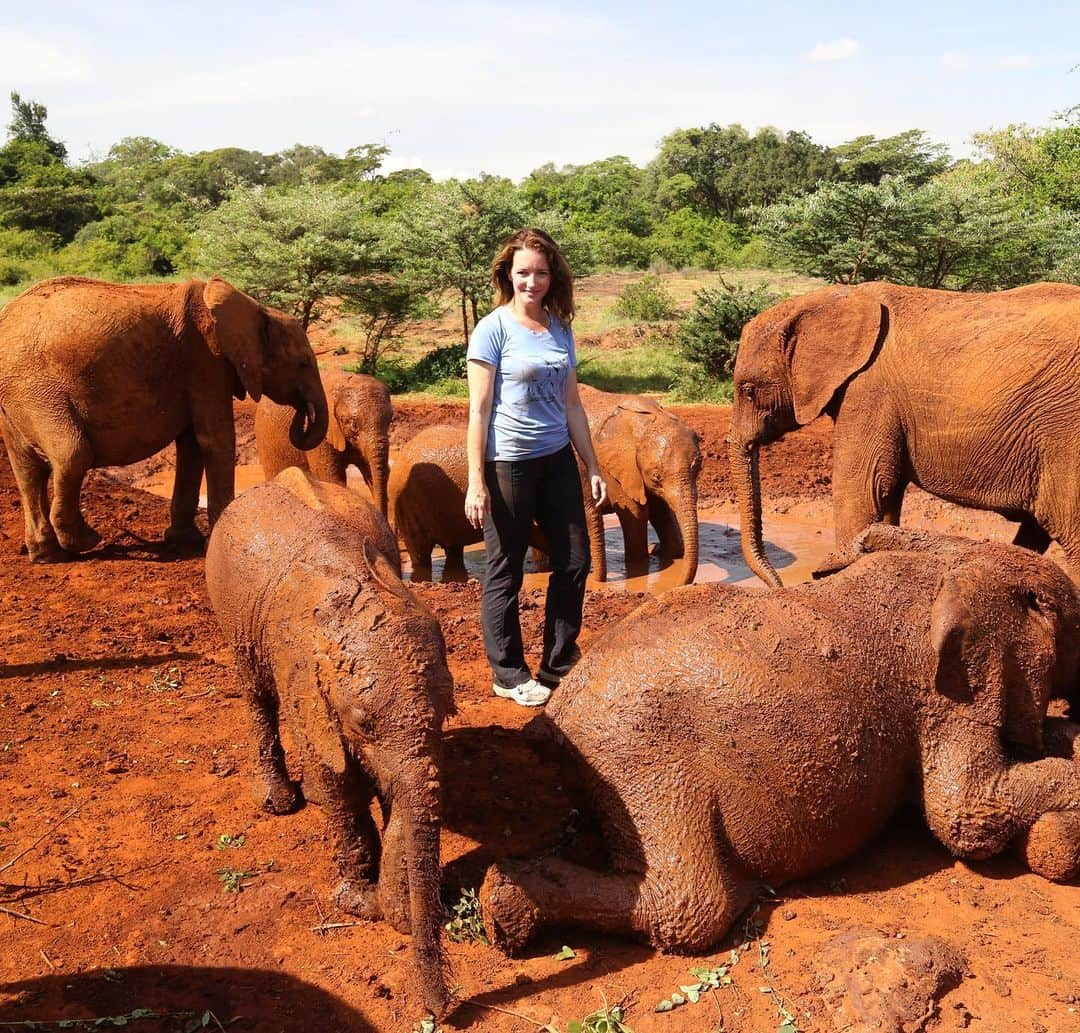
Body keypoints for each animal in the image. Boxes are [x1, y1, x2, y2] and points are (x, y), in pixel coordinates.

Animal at [0, 274, 326, 561]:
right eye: (303, 363)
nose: (302, 413)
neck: (255, 308)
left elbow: (192, 444)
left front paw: (184, 540)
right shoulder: (205, 361)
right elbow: (215, 439)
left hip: (14, 401)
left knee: (28, 470)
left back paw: (47, 556)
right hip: (35, 391)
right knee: (72, 454)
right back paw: (85, 541)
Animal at [205, 468, 451, 1015]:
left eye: (446, 714)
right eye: (362, 723)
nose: (441, 1013)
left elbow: (398, 792)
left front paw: (386, 900)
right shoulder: (298, 667)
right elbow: (339, 778)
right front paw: (354, 898)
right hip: (235, 619)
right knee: (256, 695)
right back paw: (280, 801)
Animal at [481, 531, 1080, 959]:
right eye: (1074, 624)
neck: (958, 552)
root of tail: (555, 713)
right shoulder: (949, 694)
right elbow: (964, 818)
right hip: (638, 756)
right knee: (691, 906)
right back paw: (504, 906)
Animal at [725, 283, 1080, 583]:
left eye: (748, 391)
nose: (779, 584)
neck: (832, 298)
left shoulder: (868, 391)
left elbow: (861, 489)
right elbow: (886, 494)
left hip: (1065, 430)